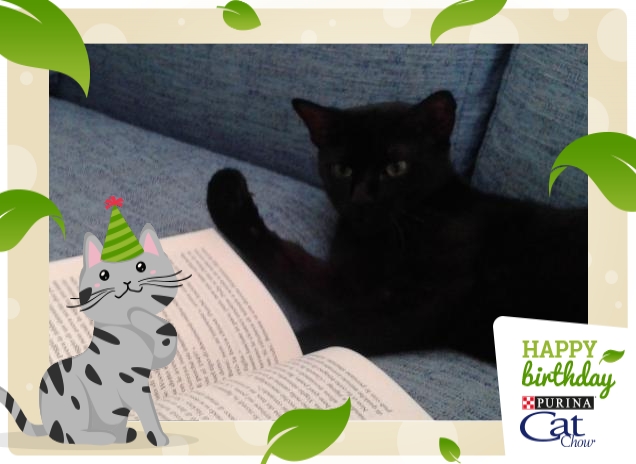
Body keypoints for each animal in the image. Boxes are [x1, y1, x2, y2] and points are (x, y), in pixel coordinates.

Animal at [1, 224, 191, 446]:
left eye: (141, 266)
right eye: (104, 275)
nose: (127, 282)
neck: (130, 331)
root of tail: (45, 424)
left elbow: (166, 333)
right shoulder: (132, 385)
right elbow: (149, 412)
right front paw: (159, 439)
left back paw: (122, 435)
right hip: (75, 400)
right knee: (68, 435)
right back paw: (101, 437)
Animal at [206, 90, 587, 363]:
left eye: (396, 167)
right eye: (342, 169)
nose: (361, 198)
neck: (385, 238)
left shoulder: (426, 303)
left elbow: (340, 330)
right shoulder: (347, 285)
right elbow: (286, 260)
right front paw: (226, 196)